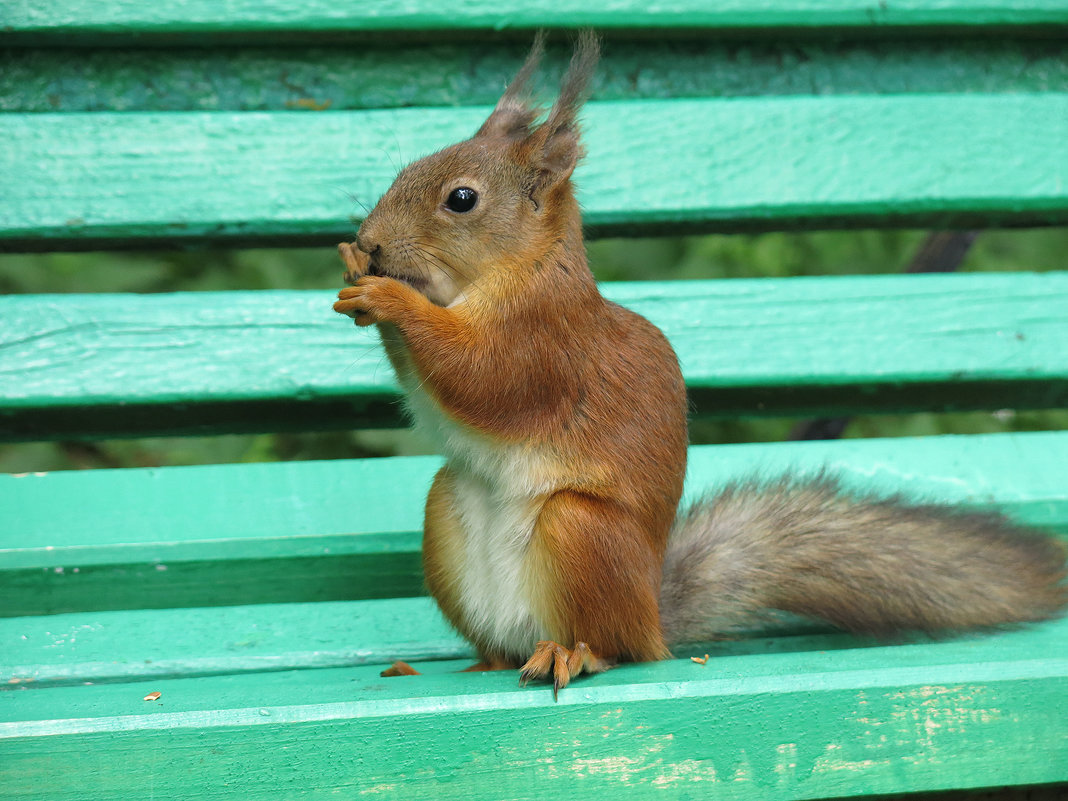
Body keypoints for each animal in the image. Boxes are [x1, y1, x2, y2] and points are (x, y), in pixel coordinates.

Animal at [328, 31, 1063, 696]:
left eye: (461, 199)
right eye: (405, 171)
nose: (370, 239)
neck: (513, 274)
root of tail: (654, 620)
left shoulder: (545, 345)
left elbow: (481, 380)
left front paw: (390, 295)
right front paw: (353, 266)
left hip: (582, 534)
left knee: (613, 646)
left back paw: (575, 654)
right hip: (445, 510)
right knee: (503, 636)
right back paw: (484, 661)